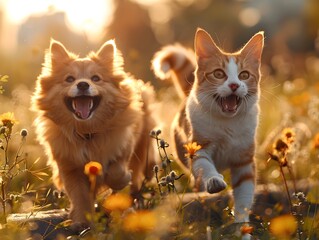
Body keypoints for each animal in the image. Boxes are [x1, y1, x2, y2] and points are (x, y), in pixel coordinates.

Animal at [31, 39, 157, 227]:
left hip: (142, 148)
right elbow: (80, 196)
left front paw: (121, 179)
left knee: (136, 175)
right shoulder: (70, 169)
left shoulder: (123, 148)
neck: (87, 133)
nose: (83, 84)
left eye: (96, 78)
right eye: (69, 79)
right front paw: (82, 222)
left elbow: (116, 172)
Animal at [152, 29, 264, 222]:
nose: (234, 85)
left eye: (244, 75)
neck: (228, 125)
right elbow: (205, 166)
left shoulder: (244, 161)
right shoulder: (198, 148)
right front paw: (214, 180)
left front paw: (242, 225)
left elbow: (244, 197)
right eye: (219, 74)